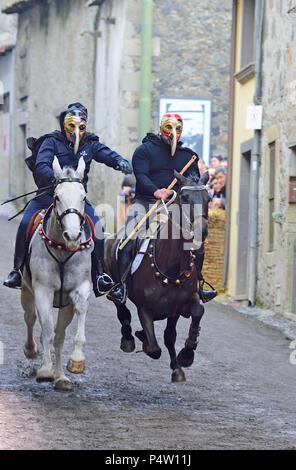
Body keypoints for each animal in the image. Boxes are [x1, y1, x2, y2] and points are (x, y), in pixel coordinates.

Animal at [21, 156, 92, 392]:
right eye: (57, 196)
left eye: (83, 197)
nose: (72, 236)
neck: (63, 250)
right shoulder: (43, 290)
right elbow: (46, 331)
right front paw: (44, 371)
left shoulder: (79, 289)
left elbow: (78, 314)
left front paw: (76, 361)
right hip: (26, 291)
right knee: (31, 318)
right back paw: (31, 350)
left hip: (64, 307)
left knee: (60, 336)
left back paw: (60, 377)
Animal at [105, 171, 209, 384]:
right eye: (185, 197)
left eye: (208, 198)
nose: (201, 231)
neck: (171, 266)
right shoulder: (144, 308)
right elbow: (154, 348)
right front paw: (143, 339)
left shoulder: (179, 307)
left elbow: (192, 316)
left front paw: (185, 356)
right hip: (115, 287)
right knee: (122, 310)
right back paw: (129, 337)